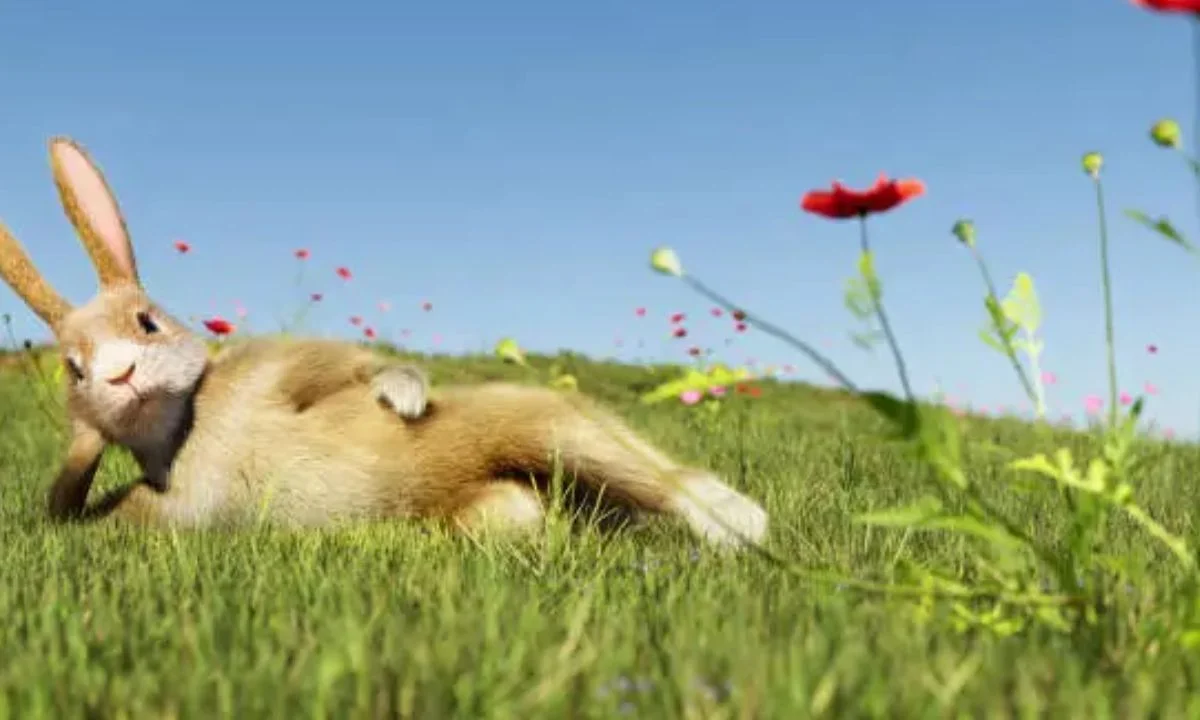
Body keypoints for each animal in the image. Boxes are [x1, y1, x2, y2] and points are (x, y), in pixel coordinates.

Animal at [0, 136, 769, 548]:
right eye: (73, 368)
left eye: (147, 322)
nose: (119, 375)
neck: (184, 429)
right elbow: (78, 508)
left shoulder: (277, 368)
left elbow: (342, 366)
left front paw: (402, 390)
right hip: (499, 503)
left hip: (545, 425)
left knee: (666, 479)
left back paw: (739, 525)